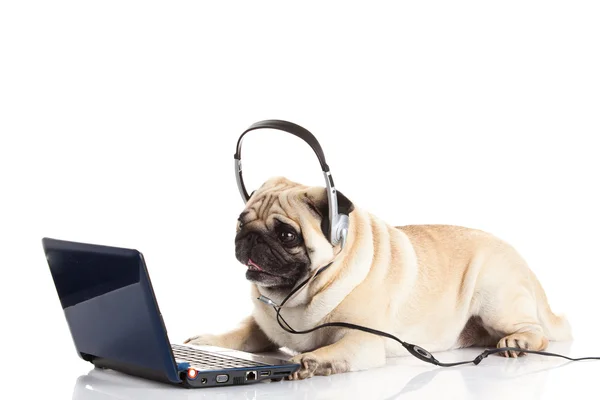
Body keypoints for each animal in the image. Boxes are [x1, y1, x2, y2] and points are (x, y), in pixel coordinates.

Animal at [185, 177, 568, 380]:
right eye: (240, 222)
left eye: (287, 235)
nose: (250, 237)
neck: (293, 299)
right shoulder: (262, 325)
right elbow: (237, 333)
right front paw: (206, 341)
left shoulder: (360, 341)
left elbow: (330, 350)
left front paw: (309, 362)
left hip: (495, 297)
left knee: (535, 332)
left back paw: (516, 342)